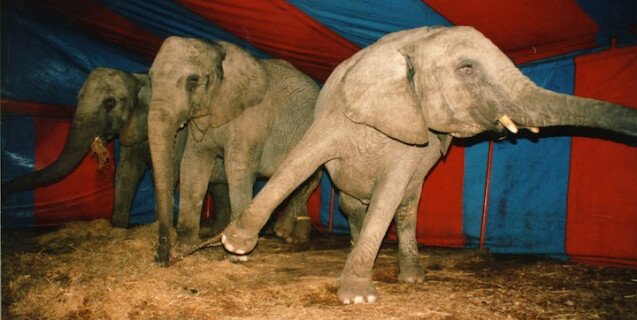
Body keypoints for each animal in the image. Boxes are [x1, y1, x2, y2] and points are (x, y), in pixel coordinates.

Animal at [147, 36, 320, 264]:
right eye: (150, 79)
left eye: (192, 81)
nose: (163, 260)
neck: (218, 49)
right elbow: (193, 163)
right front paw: (186, 248)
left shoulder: (251, 118)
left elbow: (237, 167)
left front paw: (237, 256)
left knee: (310, 179)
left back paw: (288, 236)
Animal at [219, 26, 636, 304]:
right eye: (467, 68)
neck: (413, 44)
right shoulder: (338, 111)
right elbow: (301, 160)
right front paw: (234, 245)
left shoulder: (412, 145)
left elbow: (390, 195)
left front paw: (357, 296)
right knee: (350, 202)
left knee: (405, 208)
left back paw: (411, 278)